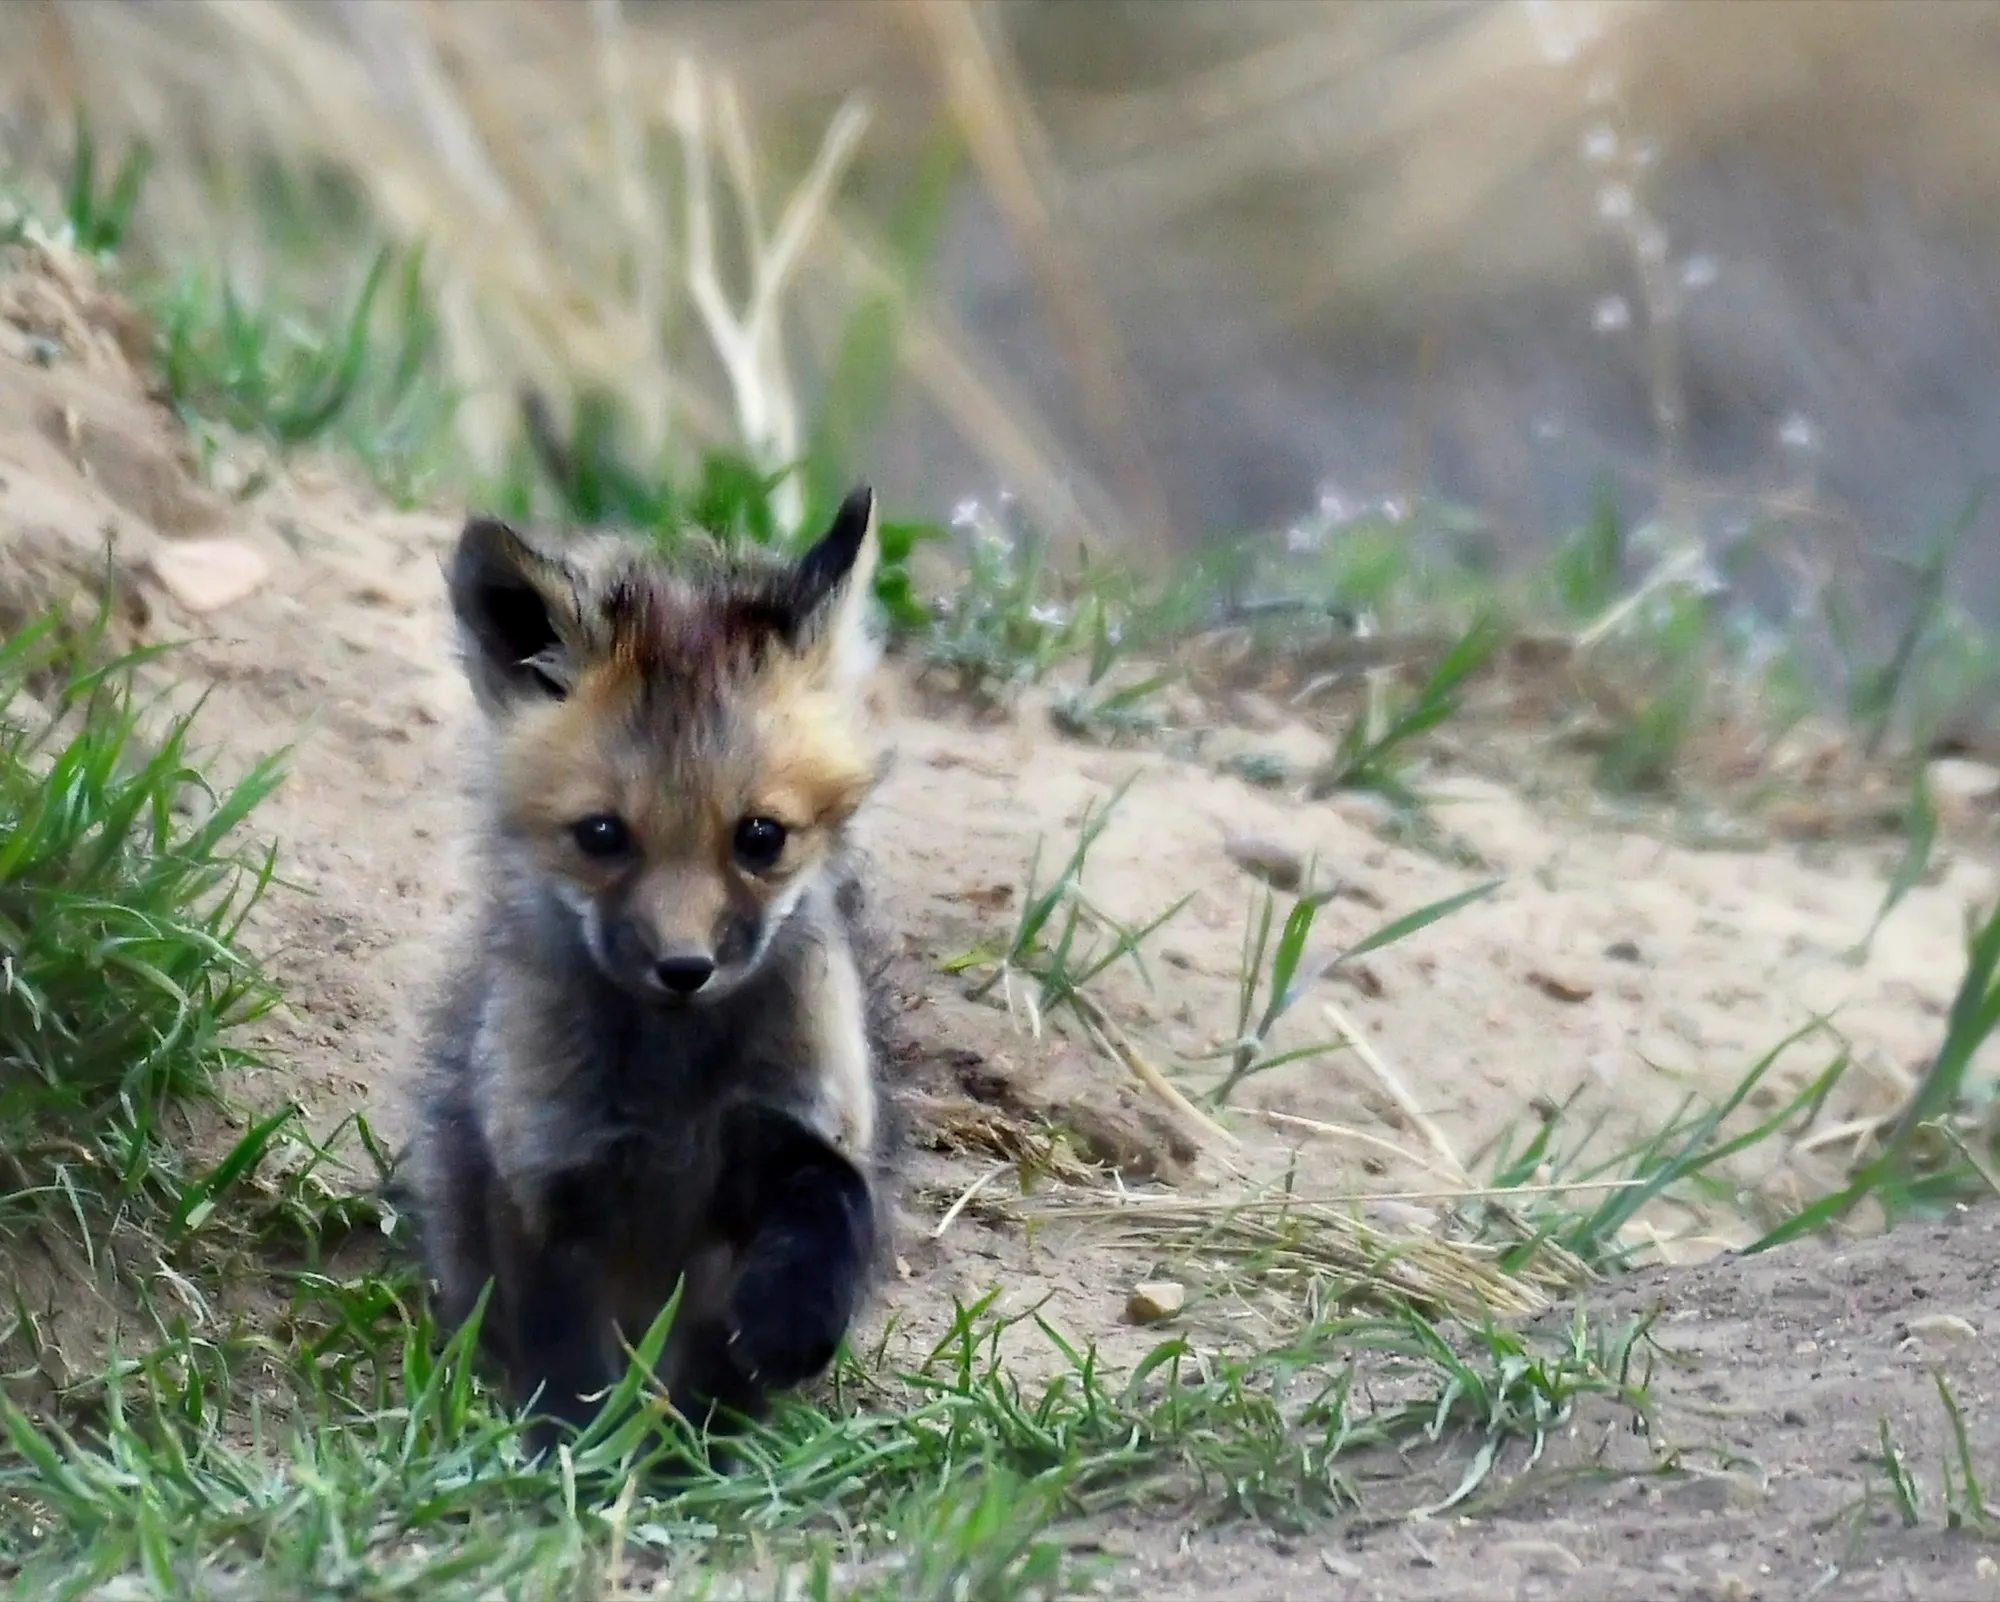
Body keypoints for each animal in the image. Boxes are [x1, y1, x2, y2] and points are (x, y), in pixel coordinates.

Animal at [405, 484, 900, 1461]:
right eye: (602, 836)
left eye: (760, 837)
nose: (685, 968)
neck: (676, 1099)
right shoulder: (547, 1180)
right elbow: (568, 1369)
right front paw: (577, 1463)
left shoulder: (799, 1123)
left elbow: (832, 1205)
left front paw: (742, 1395)